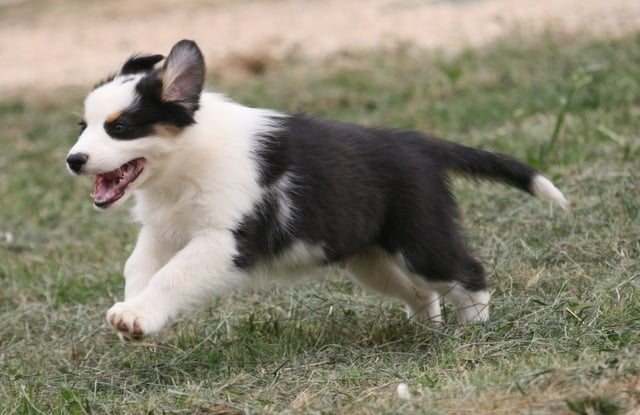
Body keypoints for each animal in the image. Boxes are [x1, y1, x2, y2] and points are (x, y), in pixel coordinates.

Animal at [66, 39, 568, 341]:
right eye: (83, 126)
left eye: (120, 128)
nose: (74, 161)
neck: (183, 162)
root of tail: (416, 143)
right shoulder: (163, 229)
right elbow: (138, 266)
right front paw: (132, 312)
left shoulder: (224, 240)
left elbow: (173, 275)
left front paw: (138, 315)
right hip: (371, 259)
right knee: (421, 292)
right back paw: (426, 332)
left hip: (420, 241)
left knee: (469, 272)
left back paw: (473, 330)